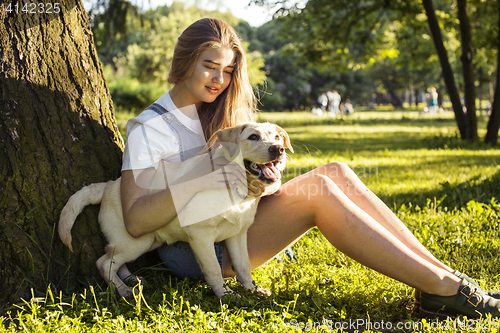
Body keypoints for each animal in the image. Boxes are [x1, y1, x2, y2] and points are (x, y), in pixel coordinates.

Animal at [58, 122, 292, 298]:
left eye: (277, 137)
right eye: (253, 137)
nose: (278, 149)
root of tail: (107, 186)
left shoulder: (237, 234)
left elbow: (243, 266)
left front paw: (252, 290)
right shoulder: (200, 235)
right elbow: (213, 269)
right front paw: (224, 295)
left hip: (146, 242)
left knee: (115, 262)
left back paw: (131, 279)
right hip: (135, 241)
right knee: (103, 262)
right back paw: (122, 289)